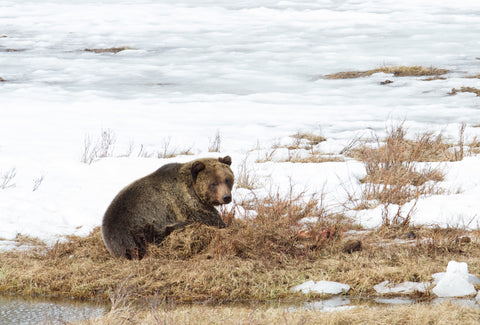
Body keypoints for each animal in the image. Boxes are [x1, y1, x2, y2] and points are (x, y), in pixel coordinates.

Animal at [101, 156, 234, 260]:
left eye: (227, 179)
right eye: (213, 183)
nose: (226, 197)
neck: (193, 189)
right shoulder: (186, 204)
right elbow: (209, 219)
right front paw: (225, 224)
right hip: (140, 226)